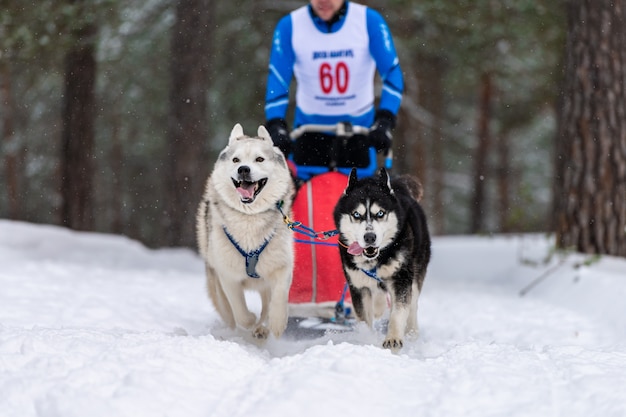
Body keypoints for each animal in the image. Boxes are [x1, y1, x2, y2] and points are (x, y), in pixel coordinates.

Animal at [196, 122, 294, 338]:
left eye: (259, 159)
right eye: (236, 160)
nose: (243, 169)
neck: (250, 219)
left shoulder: (281, 267)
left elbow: (278, 297)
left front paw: (276, 323)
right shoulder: (228, 275)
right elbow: (240, 310)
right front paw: (249, 321)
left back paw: (263, 329)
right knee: (228, 311)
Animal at [332, 167, 428, 350]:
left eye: (380, 213)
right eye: (356, 214)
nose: (370, 237)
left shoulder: (401, 279)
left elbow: (398, 313)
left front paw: (393, 339)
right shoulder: (358, 286)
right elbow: (363, 318)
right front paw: (366, 338)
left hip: (415, 273)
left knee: (412, 305)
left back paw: (412, 333)